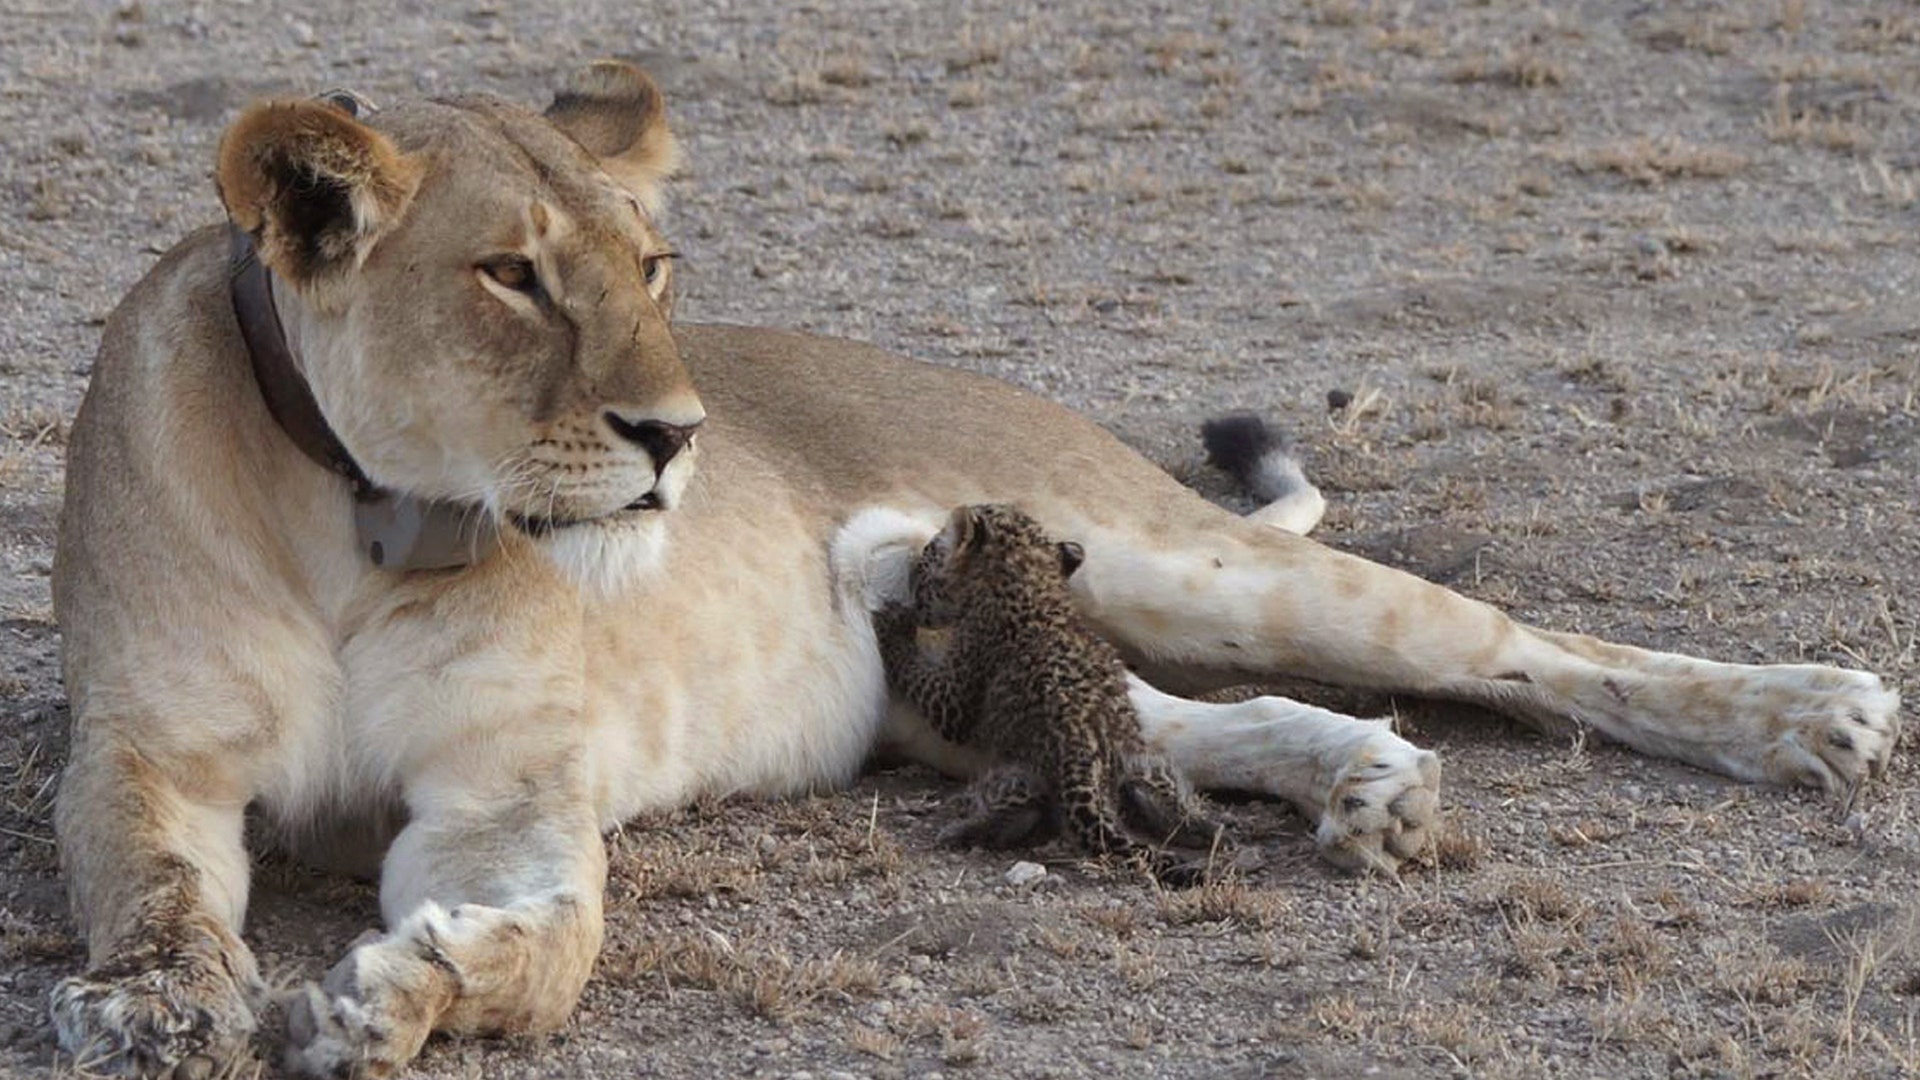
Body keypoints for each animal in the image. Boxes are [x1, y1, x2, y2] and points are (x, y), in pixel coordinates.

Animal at [45, 60, 1897, 1079]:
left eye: (654, 265)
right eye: (510, 275)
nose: (677, 436)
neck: (372, 521)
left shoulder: (506, 795)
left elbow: (548, 943)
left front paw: (397, 996)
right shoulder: (140, 755)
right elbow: (149, 886)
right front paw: (155, 1011)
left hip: (1175, 558)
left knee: (1511, 645)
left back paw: (1813, 714)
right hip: (967, 670)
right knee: (1173, 721)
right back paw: (1370, 784)